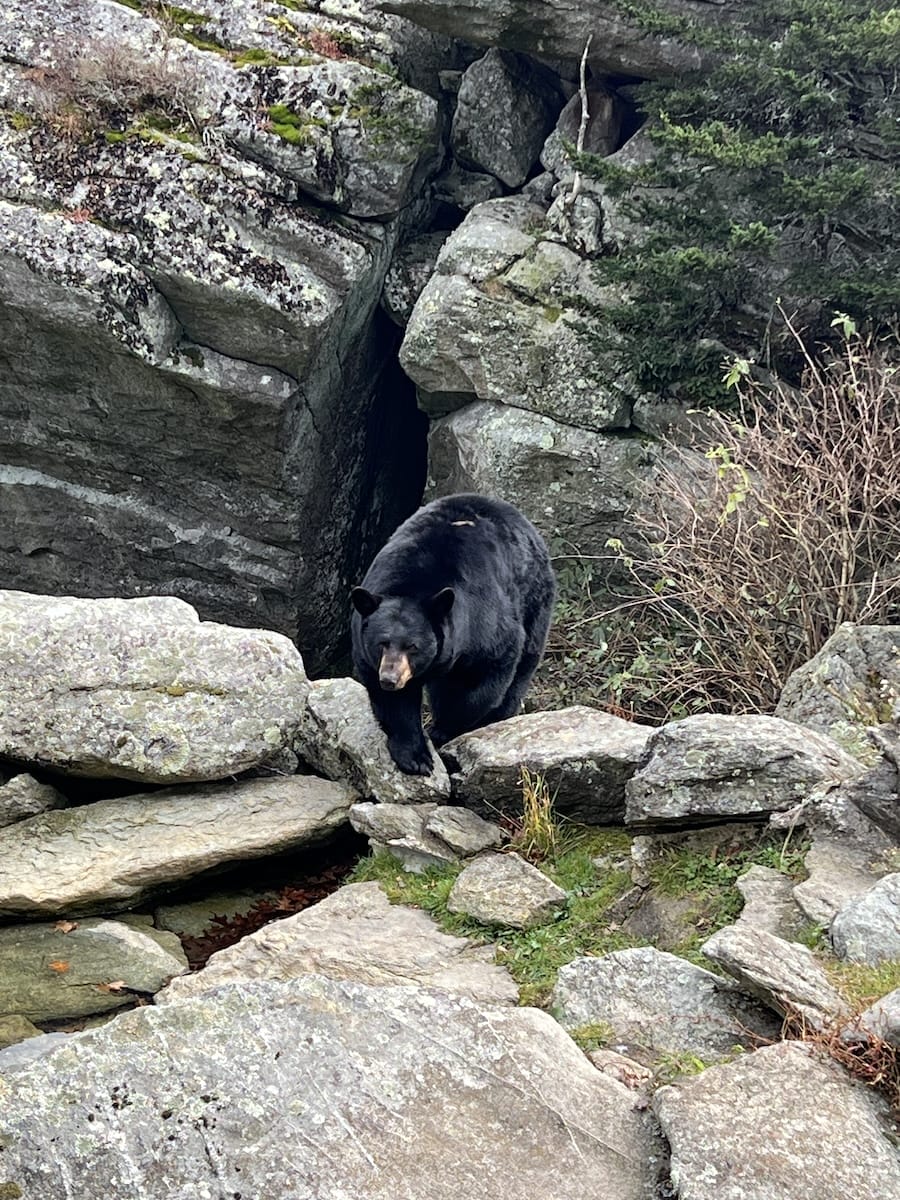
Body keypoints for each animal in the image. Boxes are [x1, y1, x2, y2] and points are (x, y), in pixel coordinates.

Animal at [351, 492, 556, 775]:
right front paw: (416, 757)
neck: (414, 584)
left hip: (534, 600)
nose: (390, 678)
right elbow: (393, 704)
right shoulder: (369, 652)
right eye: (382, 643)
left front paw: (444, 730)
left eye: (412, 646)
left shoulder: (483, 624)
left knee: (522, 667)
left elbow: (483, 678)